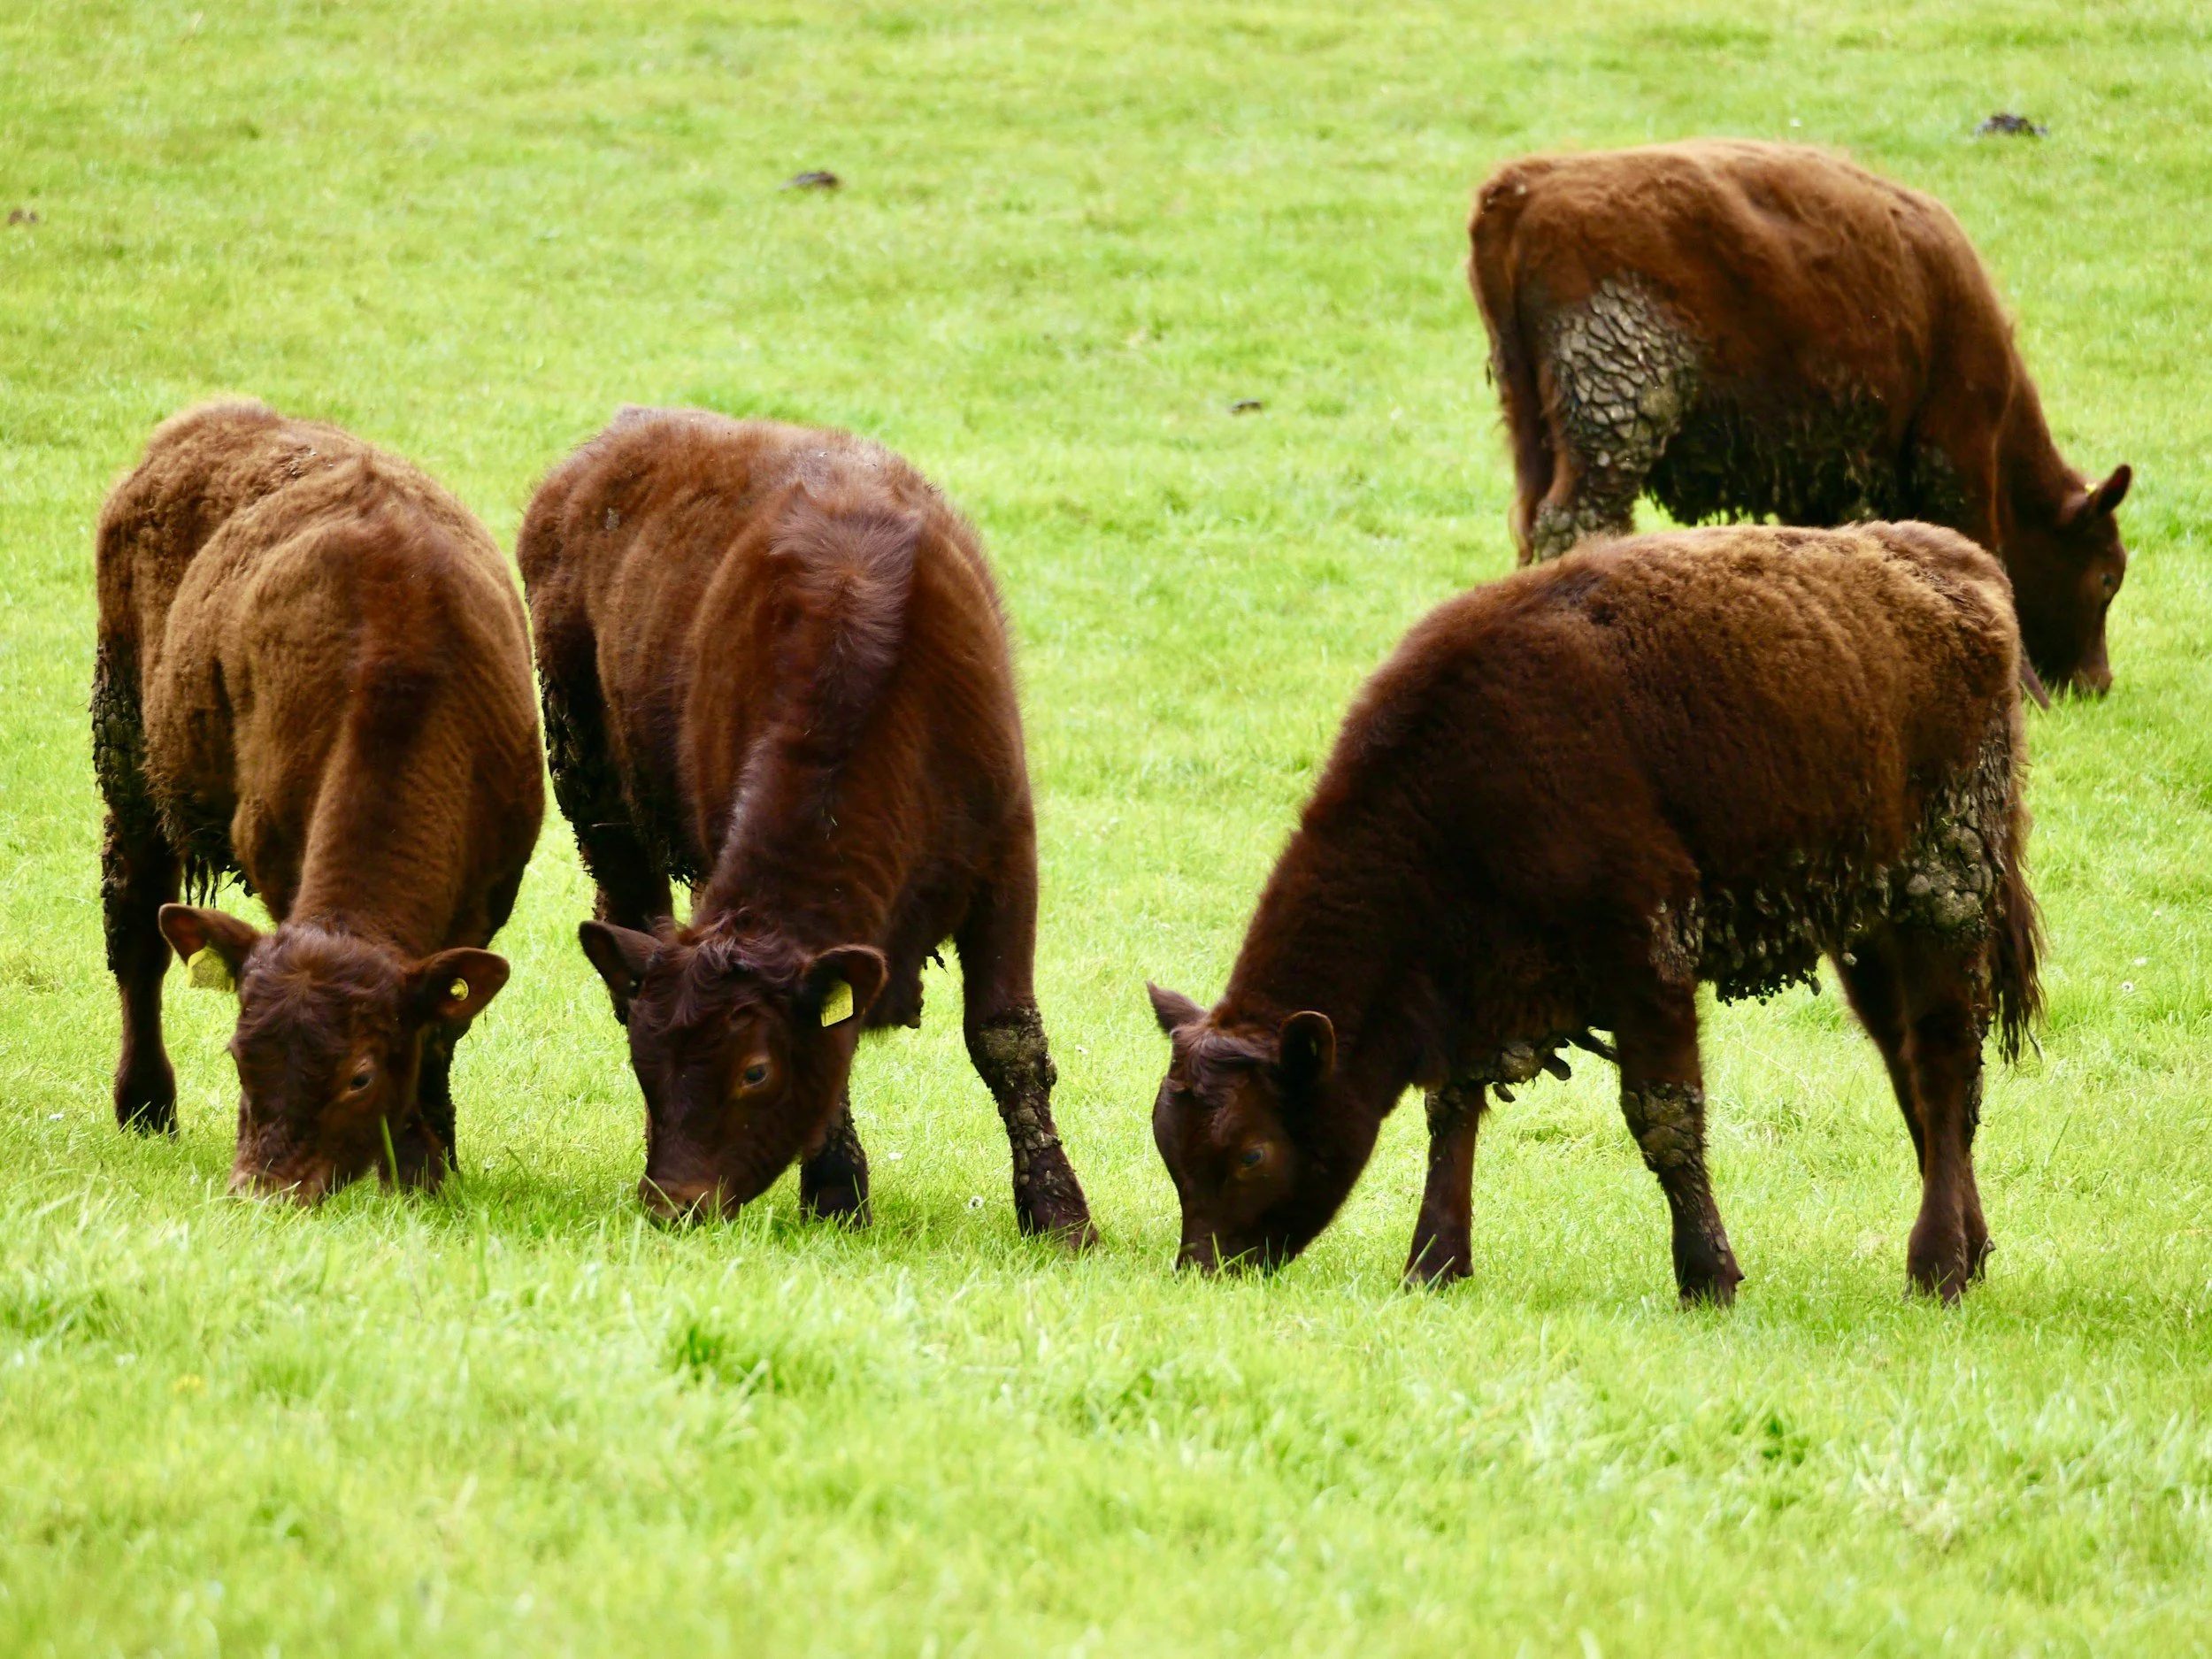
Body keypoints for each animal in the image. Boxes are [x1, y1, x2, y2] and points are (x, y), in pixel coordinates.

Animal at [92, 399, 543, 1199]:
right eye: (240, 1056)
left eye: (359, 1076)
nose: (262, 1189)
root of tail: (211, 417)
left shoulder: (491, 894)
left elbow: (440, 1030)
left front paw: (428, 1160)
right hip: (129, 749)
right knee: (137, 930)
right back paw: (145, 1103)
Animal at [518, 409, 1094, 1244]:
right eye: (642, 1064)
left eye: (755, 1069)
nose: (672, 1201)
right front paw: (835, 1190)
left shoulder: (1007, 861)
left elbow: (1006, 1037)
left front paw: (1059, 1214)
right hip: (592, 790)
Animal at [1147, 521, 2041, 1304]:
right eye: (1170, 1149)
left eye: (1252, 1153)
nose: (1203, 1267)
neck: (1457, 786)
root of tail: (1967, 570)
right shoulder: (1475, 986)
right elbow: (1452, 1114)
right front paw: (1433, 1265)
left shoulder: (1644, 959)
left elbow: (1663, 1117)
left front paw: (1707, 1279)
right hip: (1868, 929)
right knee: (1913, 1070)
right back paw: (1972, 1251)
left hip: (1943, 899)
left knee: (1943, 1062)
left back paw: (1937, 1268)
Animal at [1468, 140, 2132, 696]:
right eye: (2106, 576)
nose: (2097, 682)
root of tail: (1523, 191)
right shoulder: (1959, 444)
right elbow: (1980, 548)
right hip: (1616, 416)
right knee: (1578, 520)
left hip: (1532, 424)